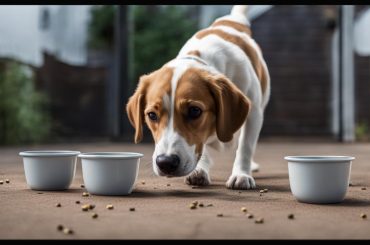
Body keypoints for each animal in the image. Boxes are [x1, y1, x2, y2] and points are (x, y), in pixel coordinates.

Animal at [126, 5, 268, 189]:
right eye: (151, 115)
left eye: (194, 111)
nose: (165, 162)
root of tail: (232, 19)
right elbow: (203, 146)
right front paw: (199, 170)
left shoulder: (254, 113)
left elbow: (245, 146)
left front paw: (241, 174)